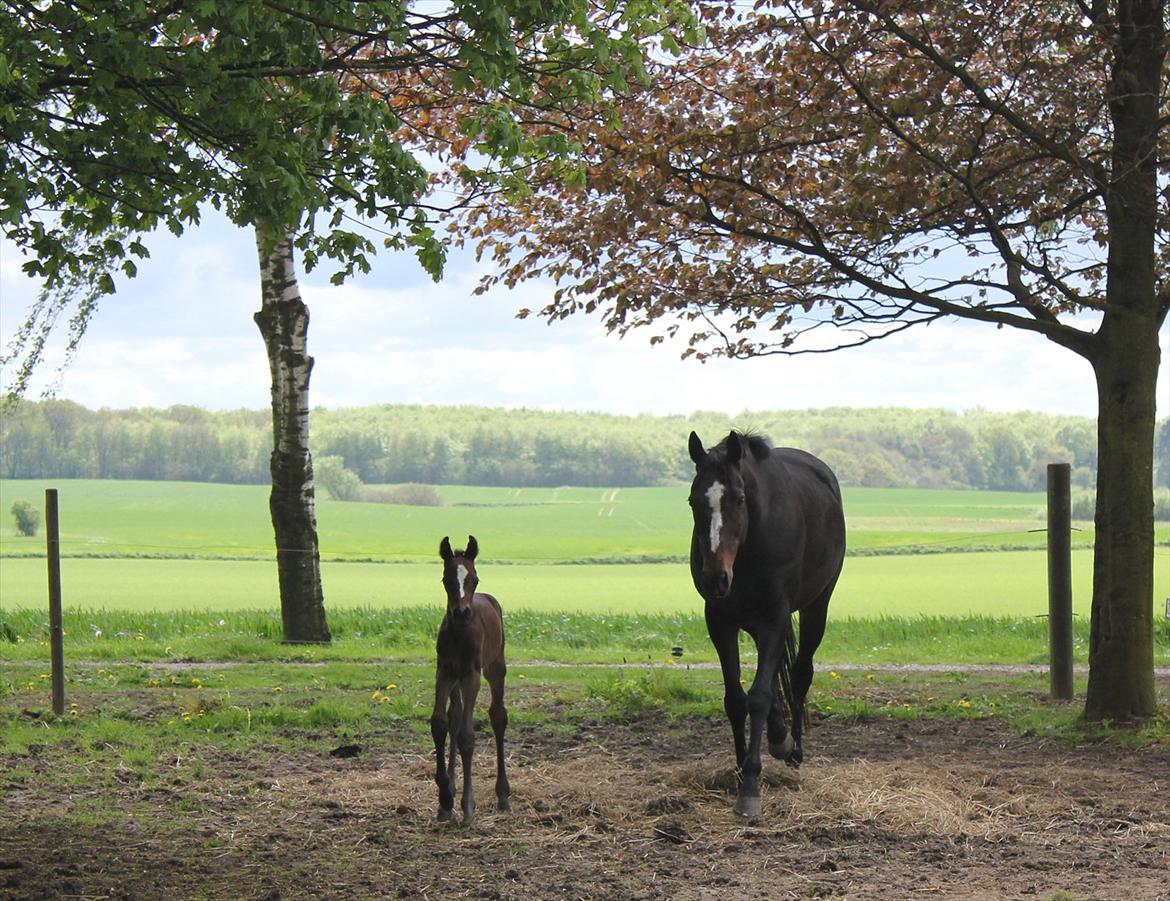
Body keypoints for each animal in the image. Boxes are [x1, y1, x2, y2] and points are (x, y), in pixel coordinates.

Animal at [428, 533, 505, 823]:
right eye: (446, 579)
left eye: (475, 578)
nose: (461, 613)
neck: (460, 634)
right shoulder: (444, 671)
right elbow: (440, 723)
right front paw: (445, 797)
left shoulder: (472, 674)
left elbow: (467, 736)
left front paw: (468, 807)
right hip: (456, 680)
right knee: (455, 715)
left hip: (495, 667)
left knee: (498, 716)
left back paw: (503, 795)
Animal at [683, 428, 842, 814]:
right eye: (694, 501)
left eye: (739, 499)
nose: (715, 578)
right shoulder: (720, 621)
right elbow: (736, 699)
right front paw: (741, 769)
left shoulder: (774, 619)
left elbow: (758, 696)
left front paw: (751, 787)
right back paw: (778, 735)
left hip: (816, 606)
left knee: (799, 675)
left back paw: (793, 748)